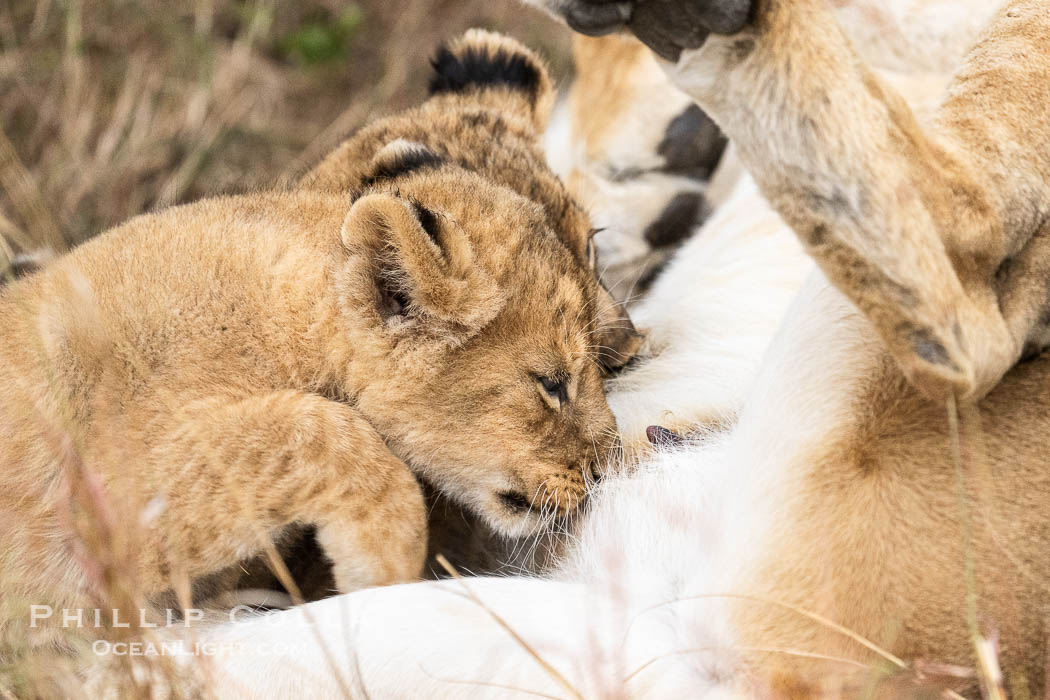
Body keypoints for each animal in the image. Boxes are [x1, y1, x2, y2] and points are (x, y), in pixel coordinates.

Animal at [0, 29, 642, 653]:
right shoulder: (100, 501)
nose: (604, 468)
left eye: (593, 247)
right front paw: (382, 569)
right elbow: (320, 429)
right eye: (552, 384)